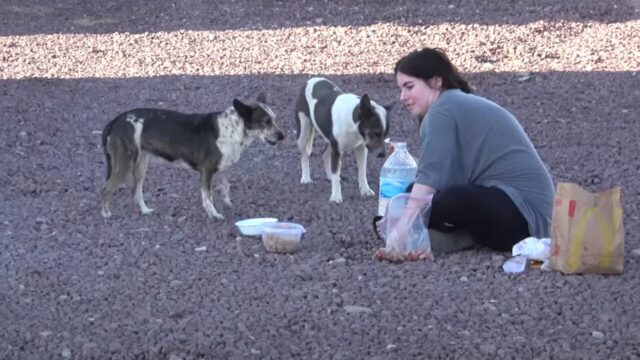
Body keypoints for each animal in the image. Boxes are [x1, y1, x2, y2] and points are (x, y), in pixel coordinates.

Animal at [100, 93, 284, 219]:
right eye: (266, 122)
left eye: (274, 119)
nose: (283, 136)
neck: (233, 128)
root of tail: (114, 122)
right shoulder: (207, 171)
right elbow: (207, 196)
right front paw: (213, 214)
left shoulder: (220, 169)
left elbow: (225, 186)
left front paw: (227, 203)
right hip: (124, 166)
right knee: (106, 189)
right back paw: (106, 213)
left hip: (140, 167)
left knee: (136, 192)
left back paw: (145, 211)